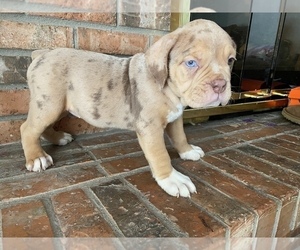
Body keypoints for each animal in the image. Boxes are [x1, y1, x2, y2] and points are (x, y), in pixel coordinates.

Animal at [20, 19, 237, 197]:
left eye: (230, 61)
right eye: (191, 63)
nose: (220, 85)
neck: (168, 89)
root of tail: (42, 54)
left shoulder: (175, 118)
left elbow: (180, 136)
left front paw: (188, 151)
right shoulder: (150, 127)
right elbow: (160, 155)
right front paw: (172, 179)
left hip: (58, 106)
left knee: (44, 128)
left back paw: (59, 138)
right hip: (49, 104)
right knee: (28, 129)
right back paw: (37, 158)